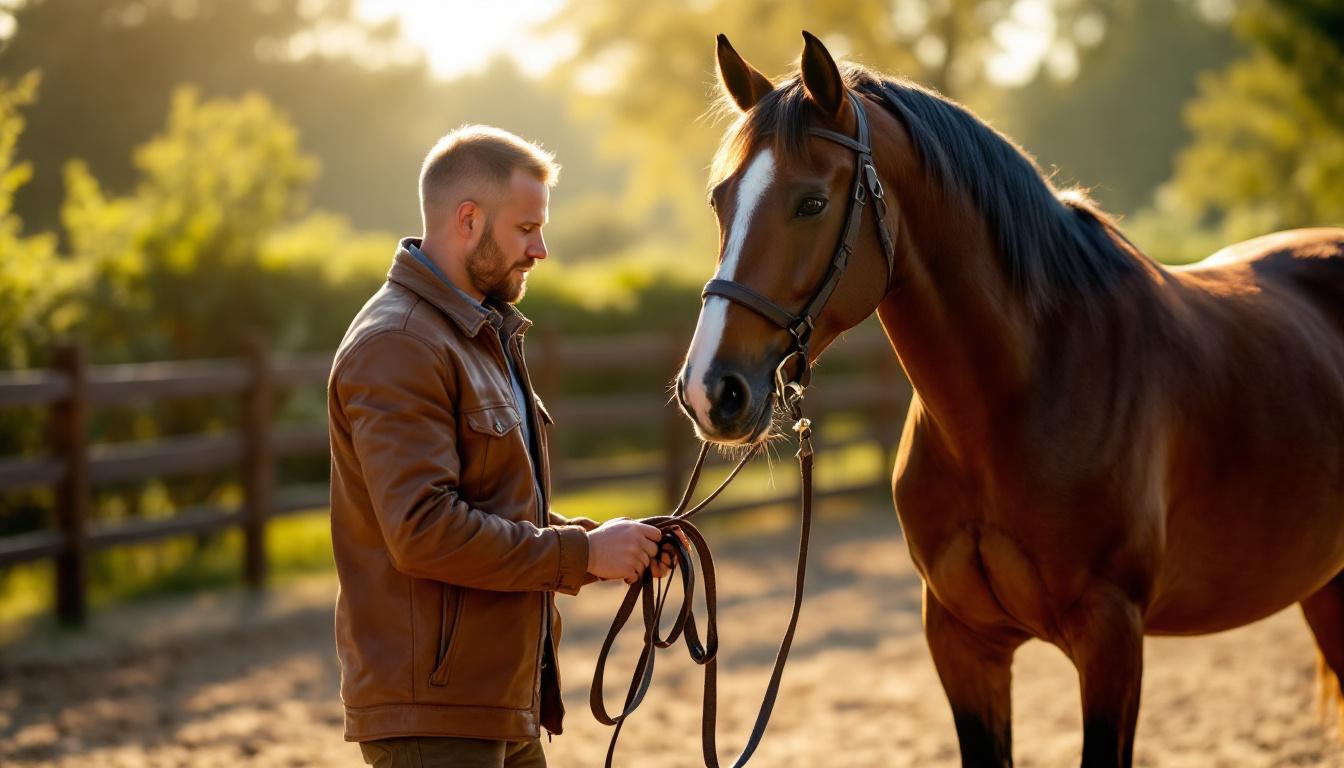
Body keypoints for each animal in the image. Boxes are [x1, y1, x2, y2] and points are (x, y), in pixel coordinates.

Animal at [674, 31, 1344, 767]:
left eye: (812, 203)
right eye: (719, 201)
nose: (710, 391)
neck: (1021, 396)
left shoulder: (1111, 637)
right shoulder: (962, 640)